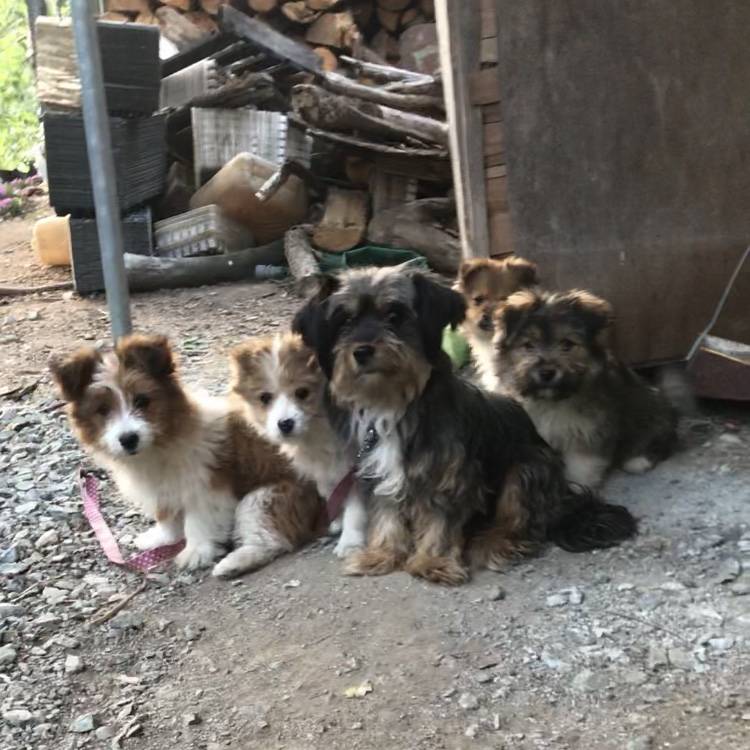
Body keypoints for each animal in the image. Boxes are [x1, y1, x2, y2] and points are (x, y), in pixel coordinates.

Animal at [50, 334, 324, 576]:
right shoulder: (161, 491)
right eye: (103, 410)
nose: (128, 438)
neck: (160, 445)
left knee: (271, 540)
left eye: (142, 400)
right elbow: (166, 517)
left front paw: (196, 552)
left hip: (262, 499)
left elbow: (198, 521)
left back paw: (234, 563)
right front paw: (162, 538)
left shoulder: (206, 489)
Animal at [231, 334, 368, 560]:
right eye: (265, 398)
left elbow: (354, 504)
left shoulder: (352, 462)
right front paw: (337, 519)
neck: (318, 429)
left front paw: (350, 541)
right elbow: (330, 491)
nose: (285, 424)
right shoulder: (322, 467)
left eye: (303, 392)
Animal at [496, 290, 680, 490]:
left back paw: (638, 460)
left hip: (650, 411)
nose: (546, 373)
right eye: (528, 345)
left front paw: (577, 491)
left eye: (567, 344)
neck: (551, 401)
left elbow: (580, 470)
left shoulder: (587, 434)